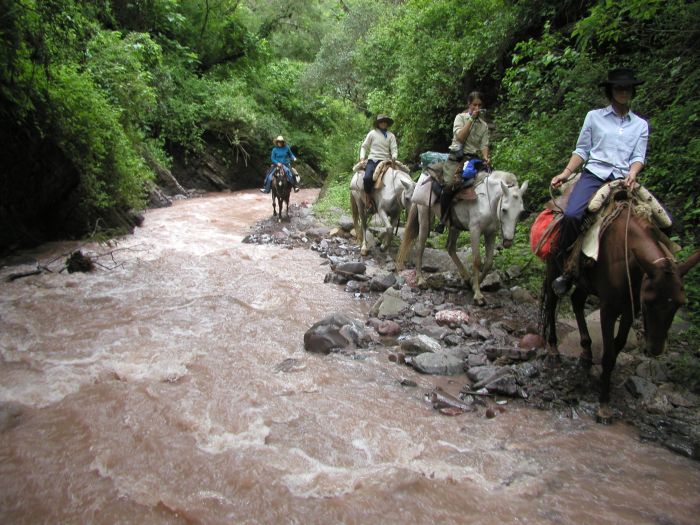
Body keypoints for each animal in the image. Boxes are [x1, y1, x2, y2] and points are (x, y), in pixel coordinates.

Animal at [396, 170, 528, 304]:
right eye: (504, 210)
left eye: (521, 212)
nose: (507, 242)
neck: (487, 201)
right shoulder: (475, 230)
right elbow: (476, 260)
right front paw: (478, 295)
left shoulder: (490, 233)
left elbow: (489, 262)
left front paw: (474, 284)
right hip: (425, 218)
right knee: (421, 246)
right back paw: (420, 279)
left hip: (455, 226)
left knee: (450, 248)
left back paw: (466, 278)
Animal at [540, 192, 700, 422]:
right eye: (649, 301)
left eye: (680, 303)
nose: (654, 349)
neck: (628, 259)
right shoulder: (608, 308)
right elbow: (608, 353)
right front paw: (603, 406)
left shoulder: (629, 308)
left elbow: (618, 345)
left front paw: (602, 380)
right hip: (555, 265)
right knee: (553, 301)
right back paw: (553, 349)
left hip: (586, 281)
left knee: (577, 301)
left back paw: (586, 353)